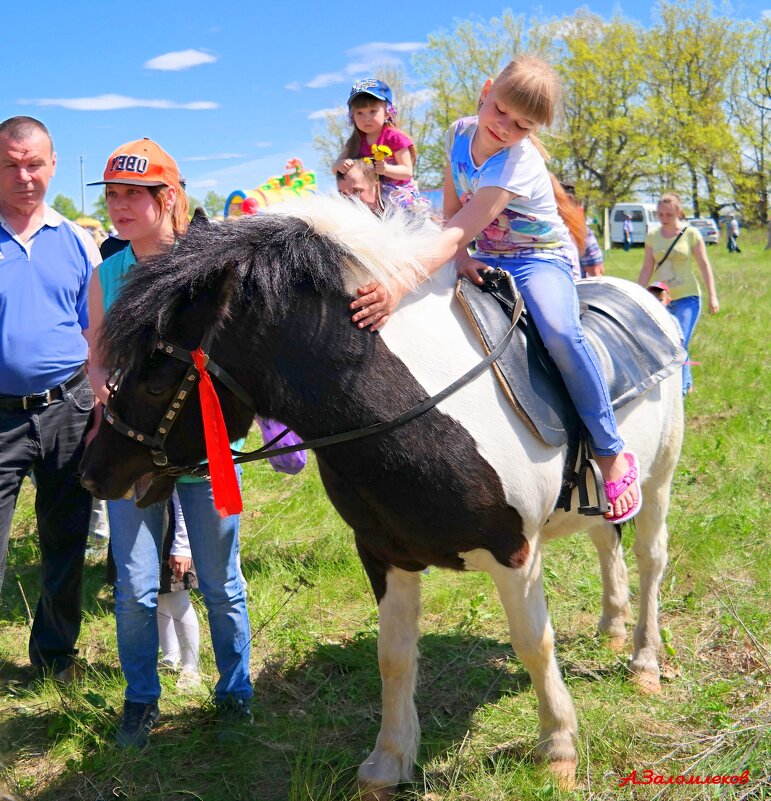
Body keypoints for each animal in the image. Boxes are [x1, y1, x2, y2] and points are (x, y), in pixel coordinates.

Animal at [81, 195, 684, 792]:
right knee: (607, 540)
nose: (93, 473)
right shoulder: (383, 554)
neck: (407, 408)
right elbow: (393, 656)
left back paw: (644, 660)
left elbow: (534, 643)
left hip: (658, 478)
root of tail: (648, 302)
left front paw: (557, 749)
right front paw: (389, 762)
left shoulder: (515, 553)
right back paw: (612, 627)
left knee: (650, 557)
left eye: (155, 382)